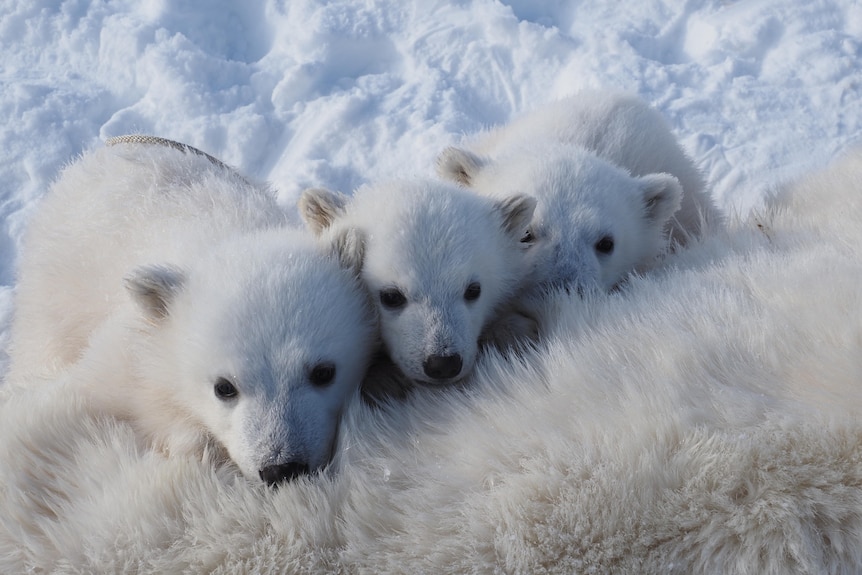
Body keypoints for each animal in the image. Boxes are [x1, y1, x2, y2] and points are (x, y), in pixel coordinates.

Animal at [5, 139, 376, 486]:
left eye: (324, 372)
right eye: (224, 387)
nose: (280, 467)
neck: (231, 235)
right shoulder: (127, 347)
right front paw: (195, 445)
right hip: (55, 291)